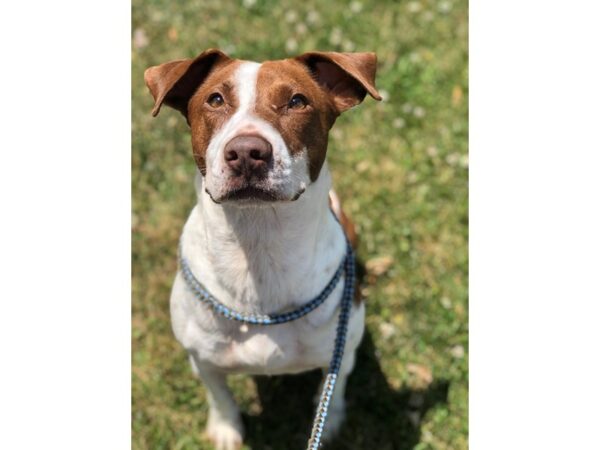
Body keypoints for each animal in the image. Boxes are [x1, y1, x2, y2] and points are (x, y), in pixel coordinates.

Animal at [144, 49, 380, 450]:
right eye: (215, 99)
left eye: (297, 101)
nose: (246, 152)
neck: (258, 249)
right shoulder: (202, 359)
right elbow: (219, 394)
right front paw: (226, 429)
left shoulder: (342, 350)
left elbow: (332, 386)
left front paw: (330, 422)